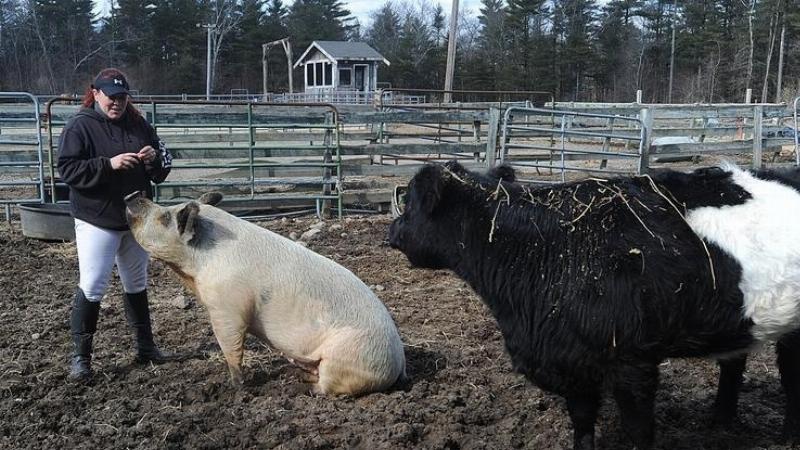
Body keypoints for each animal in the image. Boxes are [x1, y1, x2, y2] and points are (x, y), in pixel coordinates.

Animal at [124, 191, 406, 395]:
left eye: (165, 217)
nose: (133, 195)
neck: (196, 270)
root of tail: (399, 361)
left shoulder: (228, 306)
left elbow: (231, 346)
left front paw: (236, 387)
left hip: (346, 359)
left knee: (329, 388)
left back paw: (301, 387)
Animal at [388, 161, 800, 450]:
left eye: (409, 202)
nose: (390, 231)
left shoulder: (633, 362)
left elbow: (638, 430)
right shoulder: (573, 359)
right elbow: (583, 422)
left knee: (791, 381)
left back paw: (787, 439)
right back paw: (722, 421)